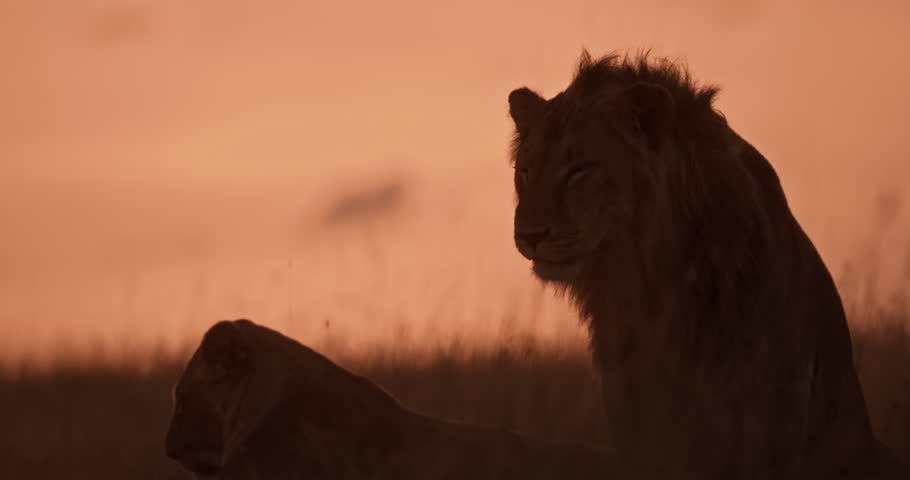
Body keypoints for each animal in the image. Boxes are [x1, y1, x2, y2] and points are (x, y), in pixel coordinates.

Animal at [506, 51, 906, 479]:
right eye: (525, 171)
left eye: (578, 171)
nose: (528, 235)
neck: (647, 281)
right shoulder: (638, 421)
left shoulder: (762, 423)